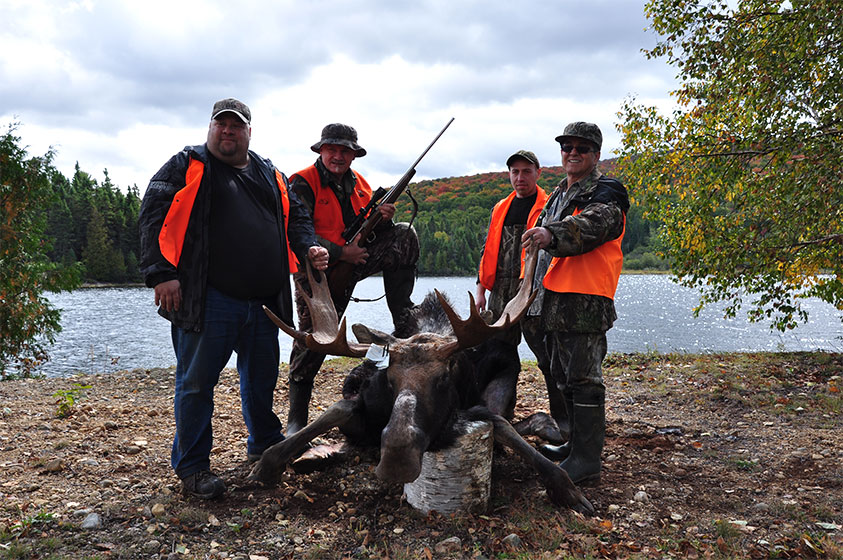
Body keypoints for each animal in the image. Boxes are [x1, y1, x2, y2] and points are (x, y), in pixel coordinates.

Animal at [251, 249, 592, 516]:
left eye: (444, 377)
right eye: (390, 380)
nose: (397, 458)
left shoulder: (472, 404)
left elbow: (503, 426)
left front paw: (569, 490)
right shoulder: (361, 394)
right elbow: (336, 410)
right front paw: (266, 466)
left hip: (507, 366)